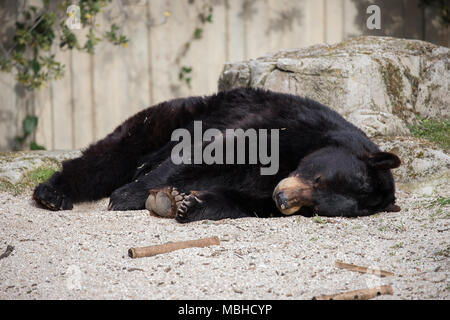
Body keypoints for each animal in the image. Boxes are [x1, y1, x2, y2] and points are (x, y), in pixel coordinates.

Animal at [33, 87, 402, 222]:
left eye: (314, 207)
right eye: (319, 178)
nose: (283, 198)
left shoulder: (264, 193)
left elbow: (244, 201)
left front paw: (188, 204)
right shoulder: (289, 128)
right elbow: (213, 153)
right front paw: (129, 196)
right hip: (173, 118)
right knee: (112, 155)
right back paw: (52, 193)